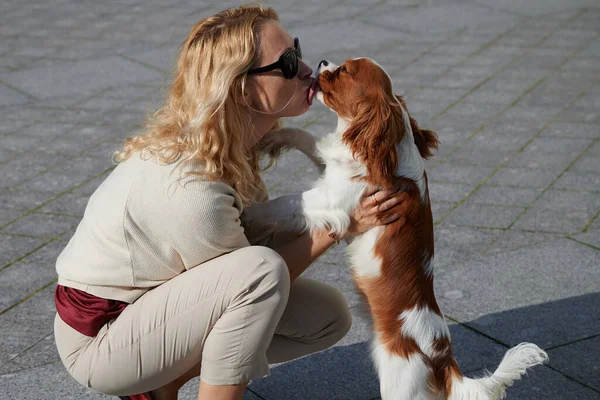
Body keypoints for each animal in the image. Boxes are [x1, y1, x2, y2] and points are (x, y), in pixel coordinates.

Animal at [245, 57, 548, 398]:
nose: (322, 62)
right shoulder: (334, 170)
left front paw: (247, 212)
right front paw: (272, 138)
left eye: (345, 71)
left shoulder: (334, 199)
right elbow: (309, 141)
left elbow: (286, 202)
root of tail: (442, 359)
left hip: (401, 384)